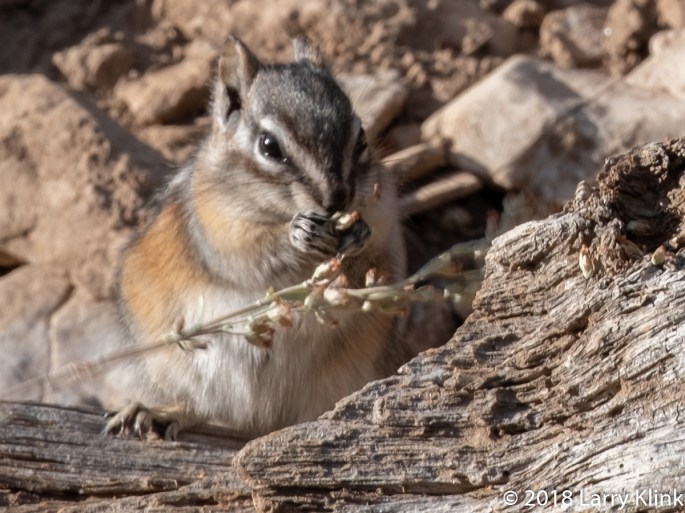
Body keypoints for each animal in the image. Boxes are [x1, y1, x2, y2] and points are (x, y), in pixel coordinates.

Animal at [105, 36, 410, 439]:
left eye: (361, 137)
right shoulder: (218, 227)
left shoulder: (385, 216)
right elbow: (250, 254)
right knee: (202, 408)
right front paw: (298, 233)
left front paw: (358, 234)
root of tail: (263, 422)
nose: (337, 200)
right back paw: (155, 412)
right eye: (269, 146)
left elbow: (372, 262)